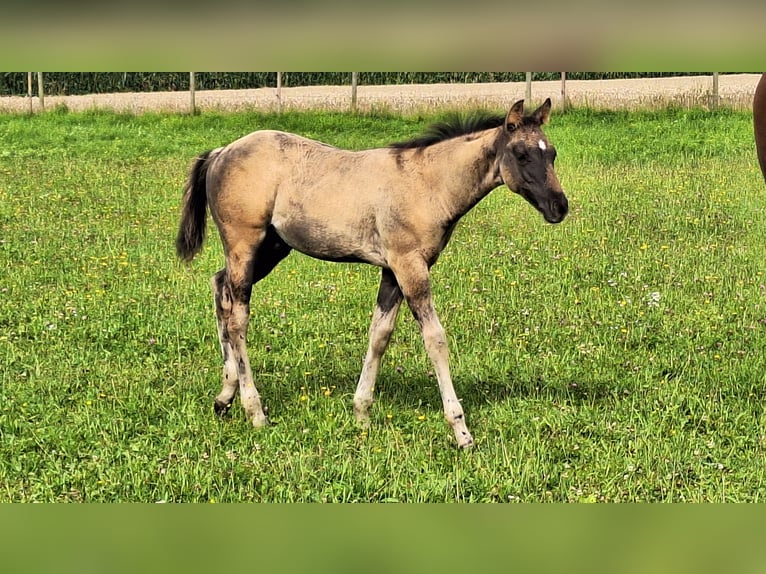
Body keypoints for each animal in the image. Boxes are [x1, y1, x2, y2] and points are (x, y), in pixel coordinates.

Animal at [175, 98, 568, 448]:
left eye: (551, 154)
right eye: (521, 154)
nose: (559, 206)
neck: (427, 183)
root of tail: (222, 151)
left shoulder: (392, 271)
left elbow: (379, 334)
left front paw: (361, 413)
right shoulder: (410, 267)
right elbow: (435, 339)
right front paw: (461, 431)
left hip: (271, 248)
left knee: (220, 289)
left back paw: (224, 396)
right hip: (245, 244)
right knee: (237, 318)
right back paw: (254, 411)